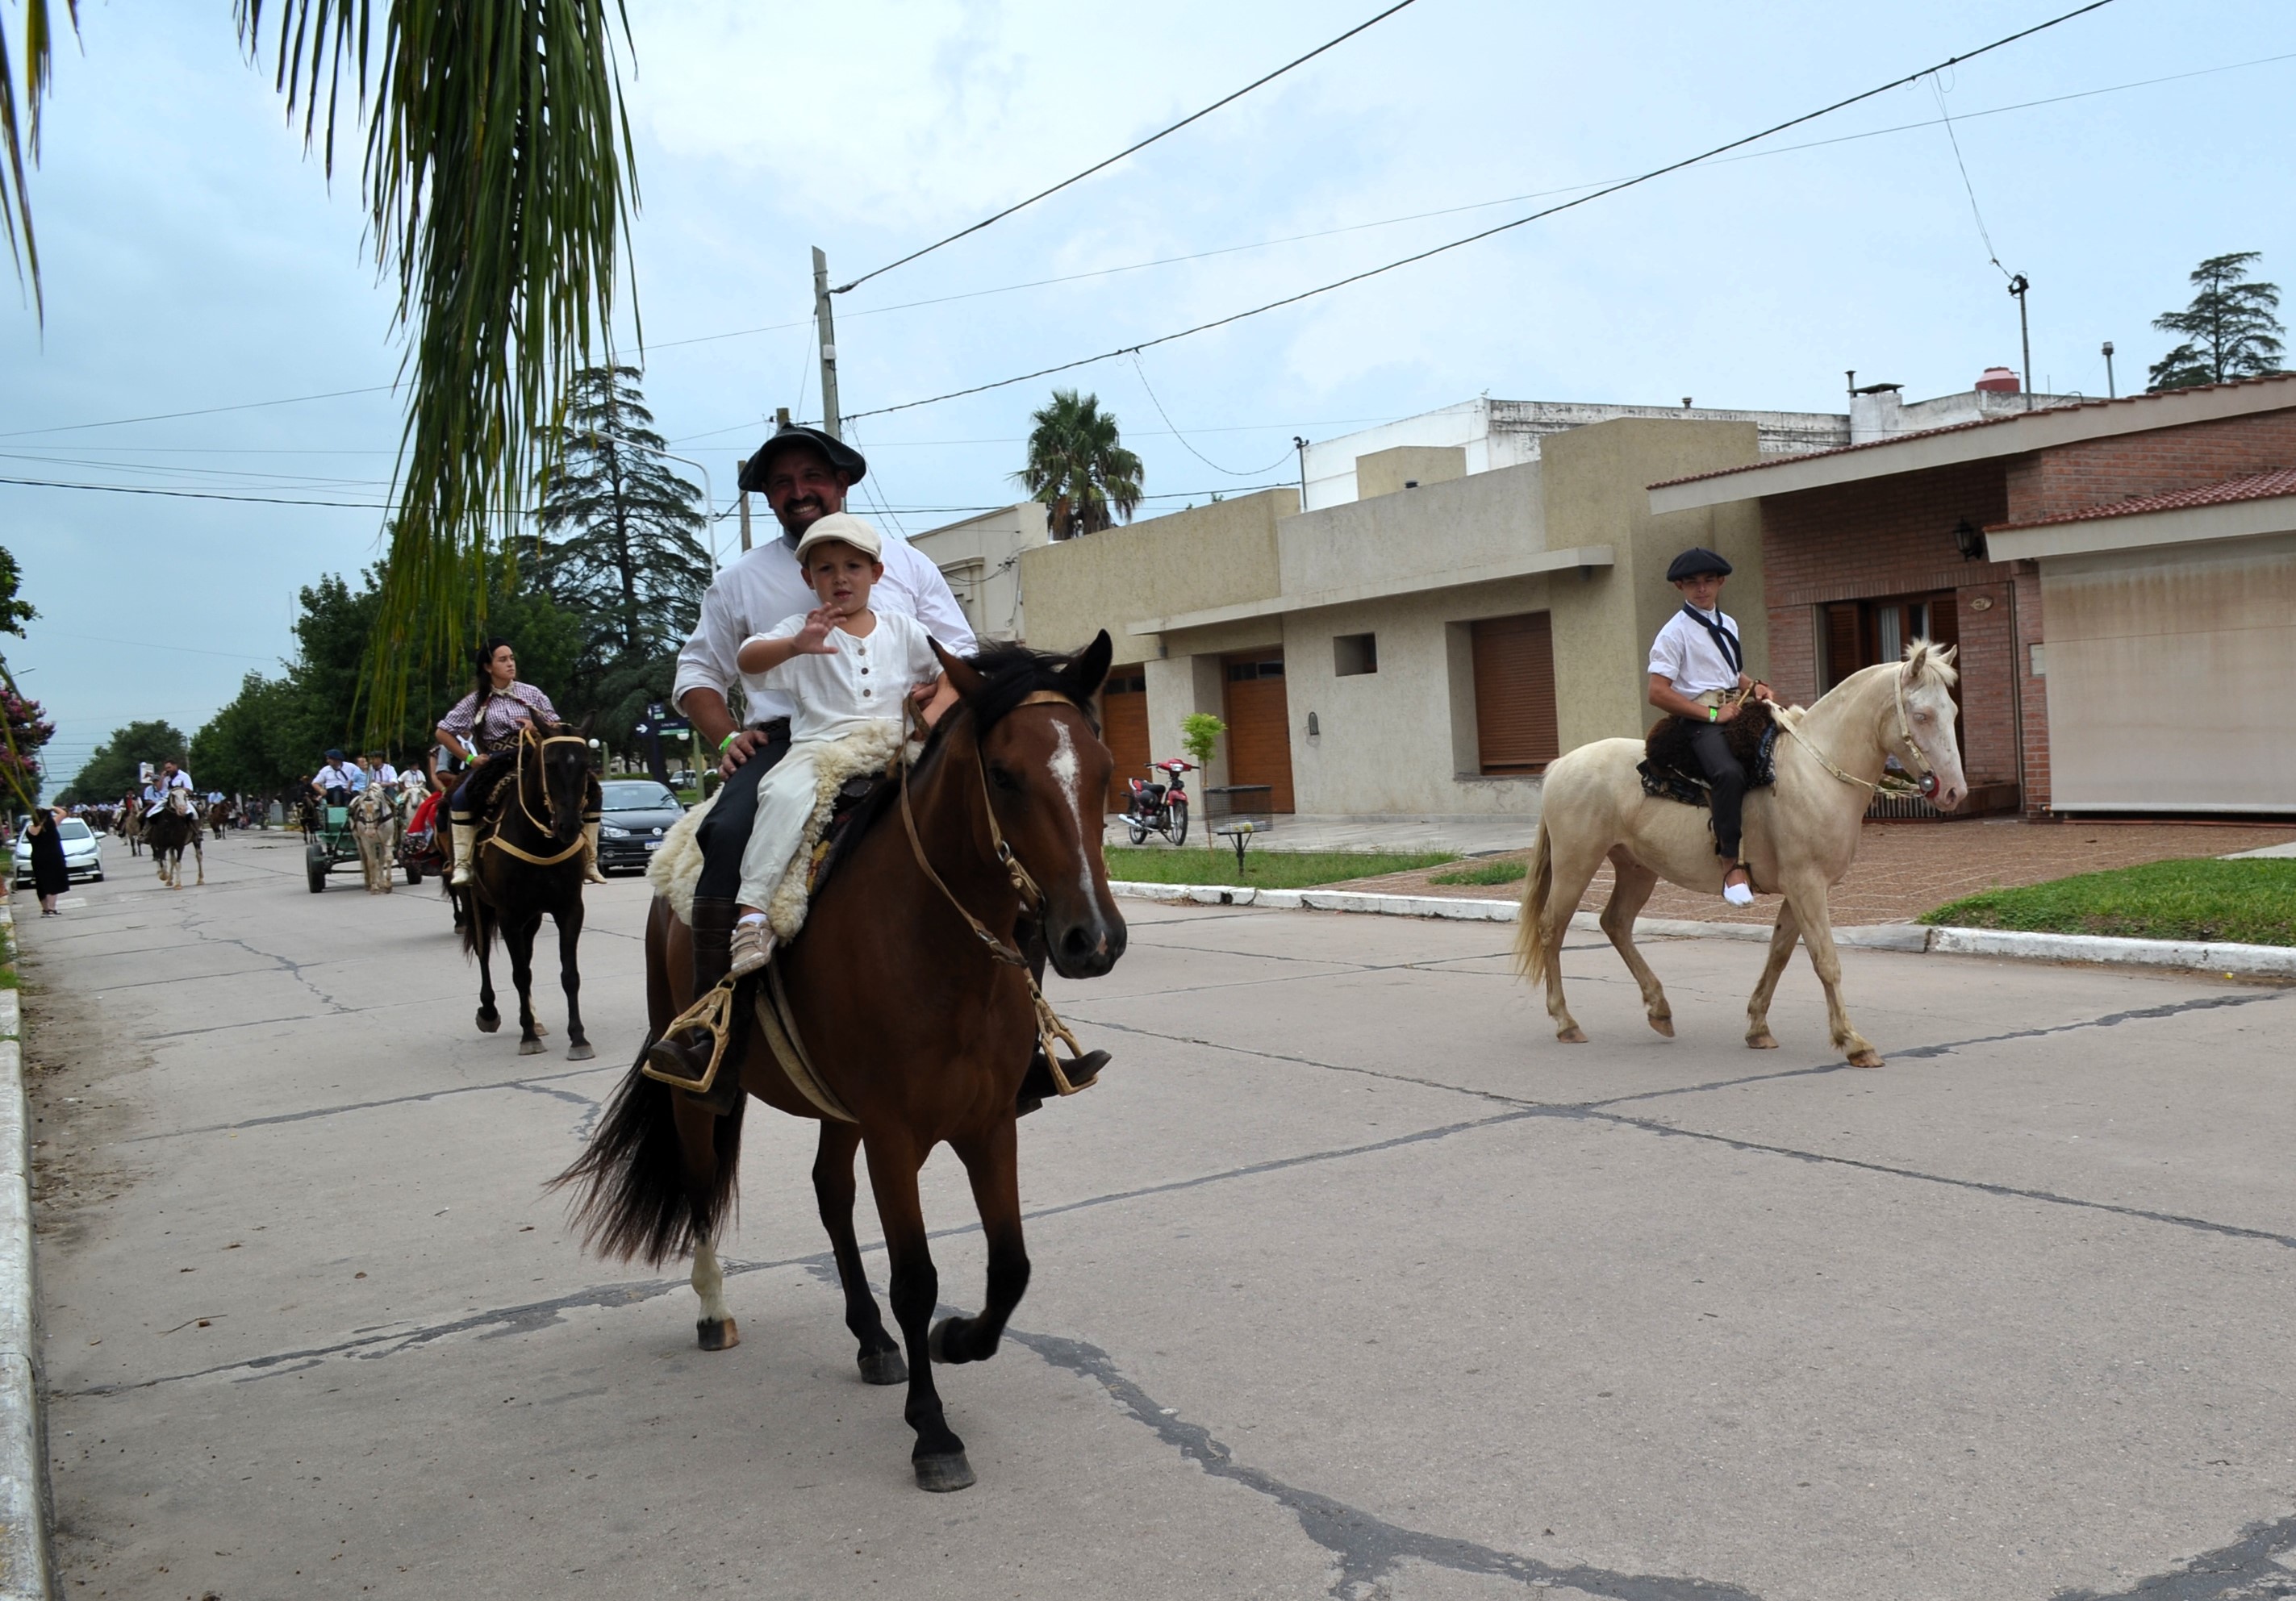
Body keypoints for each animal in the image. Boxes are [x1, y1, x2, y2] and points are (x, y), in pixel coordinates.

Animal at [346, 781, 397, 890]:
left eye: (377, 809)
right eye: (361, 810)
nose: (370, 832)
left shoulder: (387, 839)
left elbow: (387, 858)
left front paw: (387, 884)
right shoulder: (367, 841)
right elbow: (372, 862)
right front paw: (374, 886)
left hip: (379, 842)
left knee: (380, 860)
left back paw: (381, 882)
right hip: (359, 841)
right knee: (365, 859)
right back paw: (368, 883)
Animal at [459, 725, 596, 1061]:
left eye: (586, 764)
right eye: (549, 764)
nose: (569, 826)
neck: (540, 841)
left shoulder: (569, 909)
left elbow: (569, 975)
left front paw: (578, 1038)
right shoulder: (508, 915)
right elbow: (519, 974)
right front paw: (528, 1037)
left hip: (531, 917)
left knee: (527, 955)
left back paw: (535, 1019)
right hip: (476, 903)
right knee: (484, 952)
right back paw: (490, 1012)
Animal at [557, 629, 1129, 1488]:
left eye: (1099, 768)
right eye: (1003, 774)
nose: (1091, 938)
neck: (938, 943)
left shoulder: (989, 1123)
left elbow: (1010, 1266)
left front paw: (956, 1341)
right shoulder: (894, 1134)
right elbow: (917, 1277)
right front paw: (934, 1431)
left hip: (838, 1107)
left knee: (830, 1194)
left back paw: (869, 1338)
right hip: (698, 1094)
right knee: (700, 1186)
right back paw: (714, 1309)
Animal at [1515, 643, 1965, 1065]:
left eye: (1953, 710)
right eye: (1922, 715)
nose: (1953, 792)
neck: (1815, 772)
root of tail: (1560, 765)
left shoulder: (1799, 889)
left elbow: (1780, 953)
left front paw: (1758, 1028)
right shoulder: (1807, 885)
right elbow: (1825, 960)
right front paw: (1854, 1043)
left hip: (1636, 867)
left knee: (1616, 923)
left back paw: (1659, 1011)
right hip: (1576, 863)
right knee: (1552, 929)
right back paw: (1566, 1022)